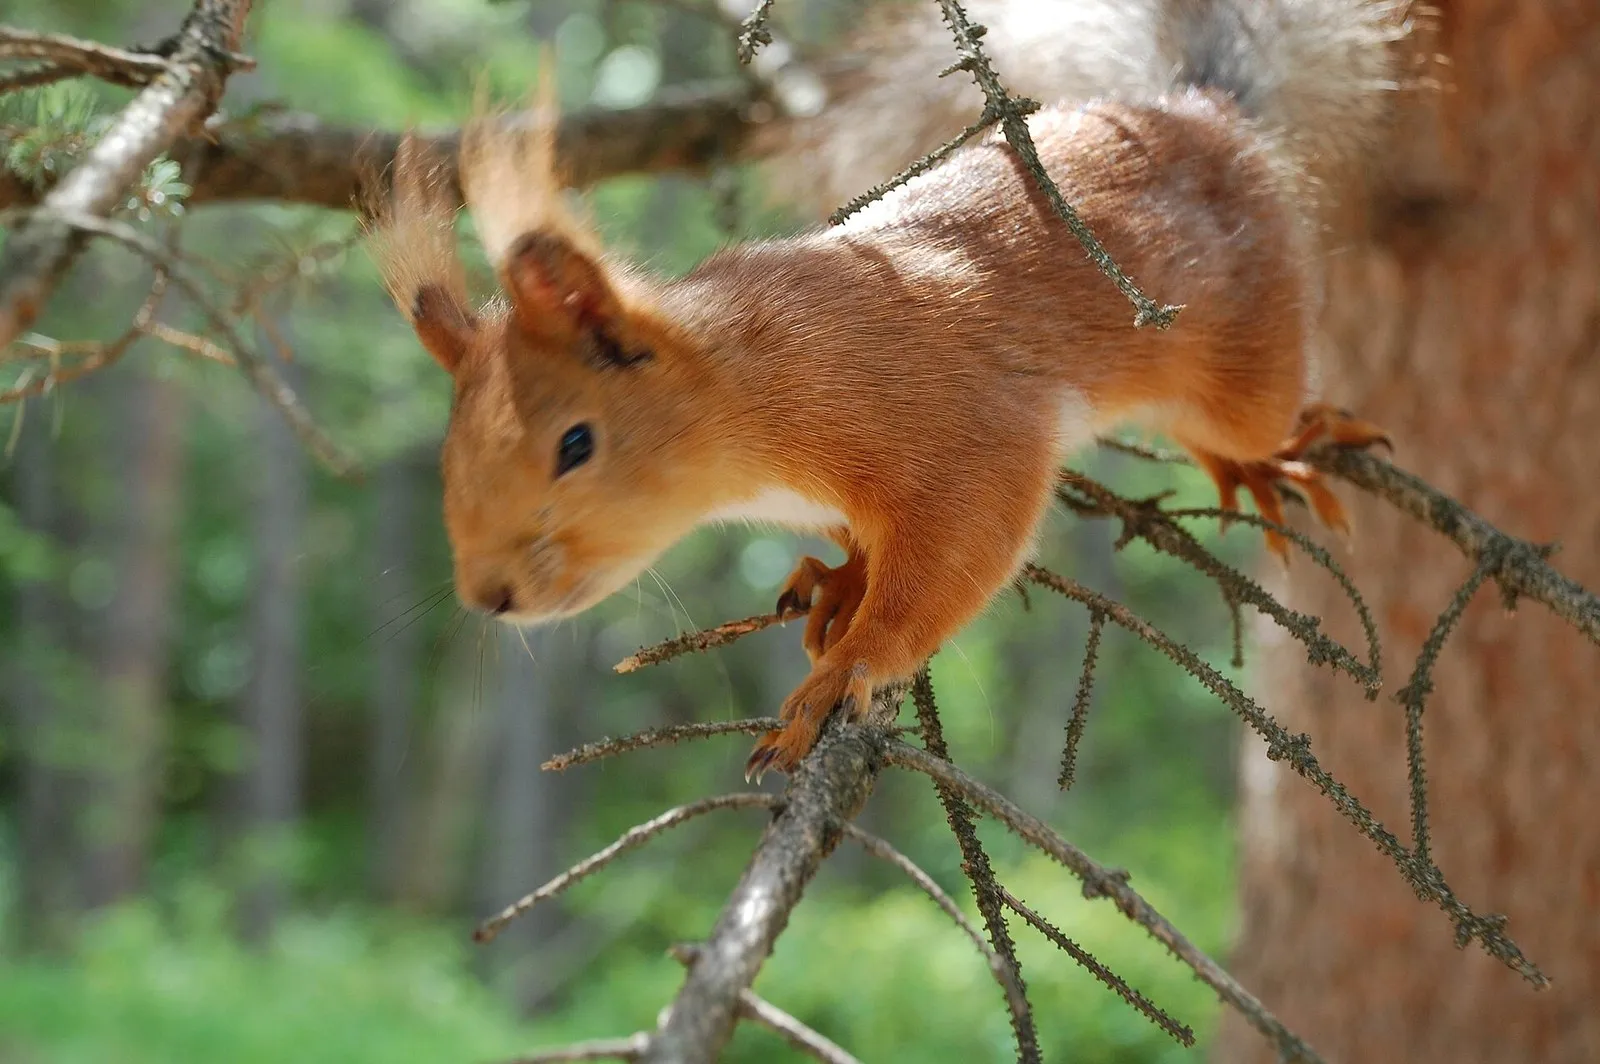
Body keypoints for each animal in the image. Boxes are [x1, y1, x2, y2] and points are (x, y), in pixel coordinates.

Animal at [369, 0, 1407, 780]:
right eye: (453, 452)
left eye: (576, 444)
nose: (489, 596)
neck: (740, 391)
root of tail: (1203, 111)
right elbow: (868, 549)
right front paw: (840, 585)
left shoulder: (957, 433)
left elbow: (950, 559)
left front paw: (852, 664)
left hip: (1247, 348)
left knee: (1249, 413)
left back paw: (1269, 457)